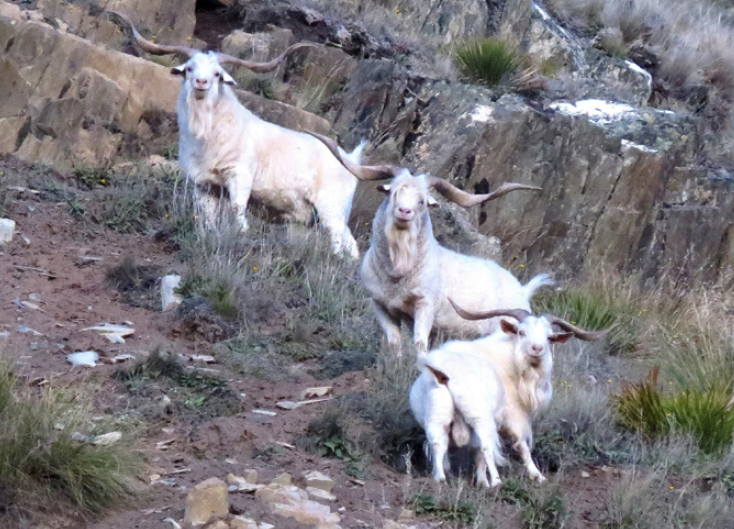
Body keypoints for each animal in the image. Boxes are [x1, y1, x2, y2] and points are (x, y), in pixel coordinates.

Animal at [109, 12, 372, 258]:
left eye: (217, 73)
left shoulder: (239, 176)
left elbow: (238, 211)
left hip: (332, 208)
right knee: (349, 243)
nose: (201, 82)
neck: (209, 134)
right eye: (190, 68)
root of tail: (350, 159)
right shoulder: (204, 185)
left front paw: (241, 237)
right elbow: (207, 219)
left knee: (341, 241)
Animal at [309, 132, 549, 355]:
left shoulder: (425, 306)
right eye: (393, 191)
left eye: (422, 200)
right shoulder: (381, 306)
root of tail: (522, 289)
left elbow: (419, 344)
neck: (397, 274)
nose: (404, 211)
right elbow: (394, 344)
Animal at [410, 304, 610, 486]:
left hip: (437, 417)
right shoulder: (513, 413)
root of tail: (443, 373)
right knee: (486, 445)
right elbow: (520, 443)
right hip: (479, 417)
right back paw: (497, 482)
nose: (537, 348)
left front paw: (481, 481)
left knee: (438, 443)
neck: (510, 360)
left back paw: (440, 477)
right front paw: (536, 475)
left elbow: (476, 452)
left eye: (549, 337)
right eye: (521, 332)